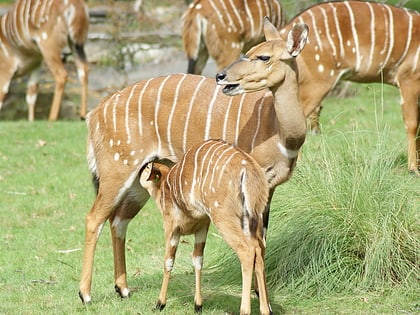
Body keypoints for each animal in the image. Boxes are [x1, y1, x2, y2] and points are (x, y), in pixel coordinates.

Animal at [140, 140, 272, 315]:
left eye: (147, 168)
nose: (141, 169)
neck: (163, 190)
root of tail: (249, 170)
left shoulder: (171, 228)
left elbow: (168, 260)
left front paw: (160, 303)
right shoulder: (202, 227)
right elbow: (198, 259)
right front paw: (198, 305)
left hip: (224, 218)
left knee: (247, 250)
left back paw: (244, 310)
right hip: (255, 221)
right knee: (260, 248)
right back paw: (266, 309)